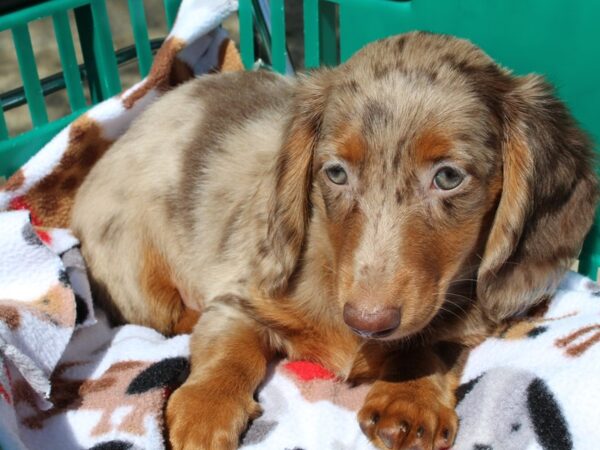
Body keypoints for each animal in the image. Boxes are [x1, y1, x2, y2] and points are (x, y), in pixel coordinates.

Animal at [70, 32, 596, 450]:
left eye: (448, 177)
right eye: (337, 173)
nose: (368, 321)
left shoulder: (461, 320)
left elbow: (429, 344)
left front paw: (409, 398)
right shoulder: (239, 297)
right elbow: (229, 349)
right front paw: (204, 410)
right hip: (139, 279)